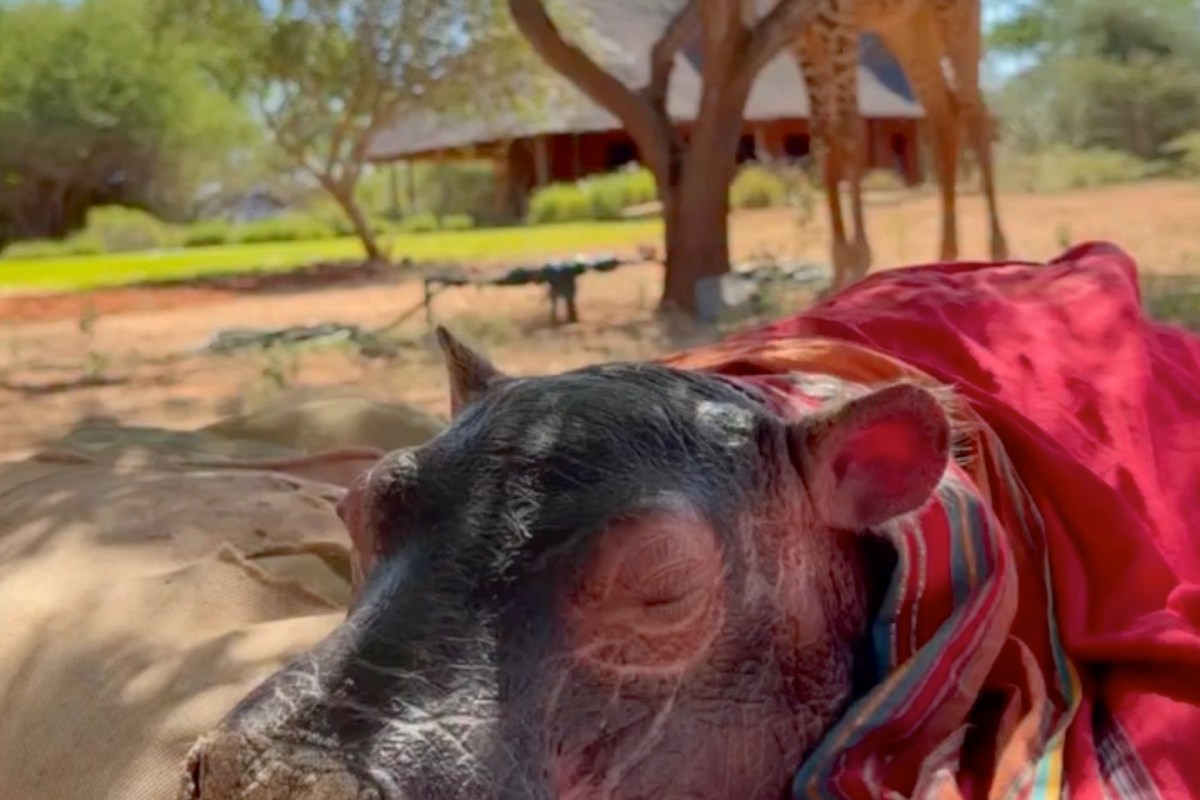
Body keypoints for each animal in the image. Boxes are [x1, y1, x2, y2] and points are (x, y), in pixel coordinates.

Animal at [790, 0, 1009, 292]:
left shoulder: (836, 21)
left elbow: (847, 130)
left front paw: (858, 259)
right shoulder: (801, 39)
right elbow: (822, 136)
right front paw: (838, 274)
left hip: (954, 15)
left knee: (975, 115)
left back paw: (997, 251)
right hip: (908, 29)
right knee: (945, 117)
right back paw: (944, 258)